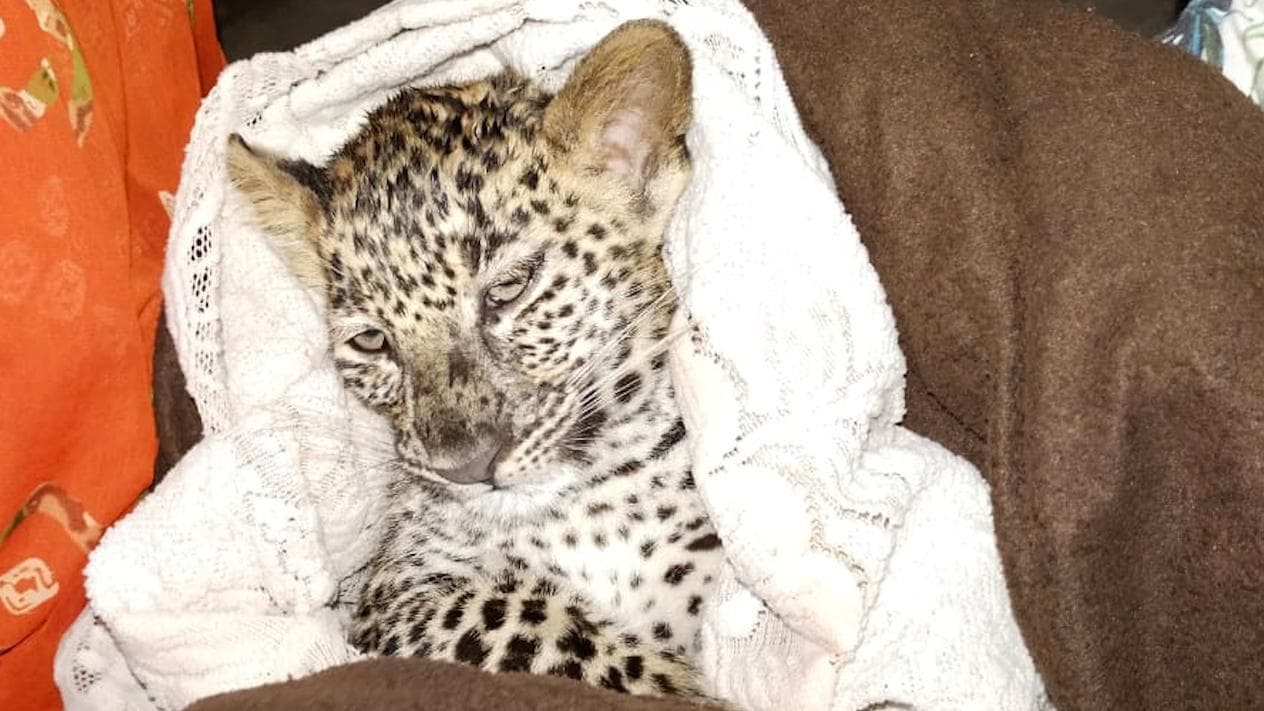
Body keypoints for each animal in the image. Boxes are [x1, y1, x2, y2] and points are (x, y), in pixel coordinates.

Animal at [226, 20, 723, 699]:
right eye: (372, 341)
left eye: (508, 290)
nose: (466, 468)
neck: (586, 514)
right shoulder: (392, 602)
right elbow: (517, 615)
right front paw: (683, 688)